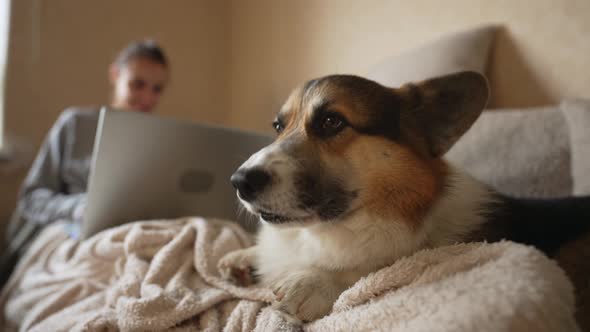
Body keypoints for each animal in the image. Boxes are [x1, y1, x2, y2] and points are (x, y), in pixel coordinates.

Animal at [220, 72, 590, 324]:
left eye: (331, 121)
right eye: (278, 126)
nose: (239, 181)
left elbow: (375, 270)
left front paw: (316, 281)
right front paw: (244, 257)